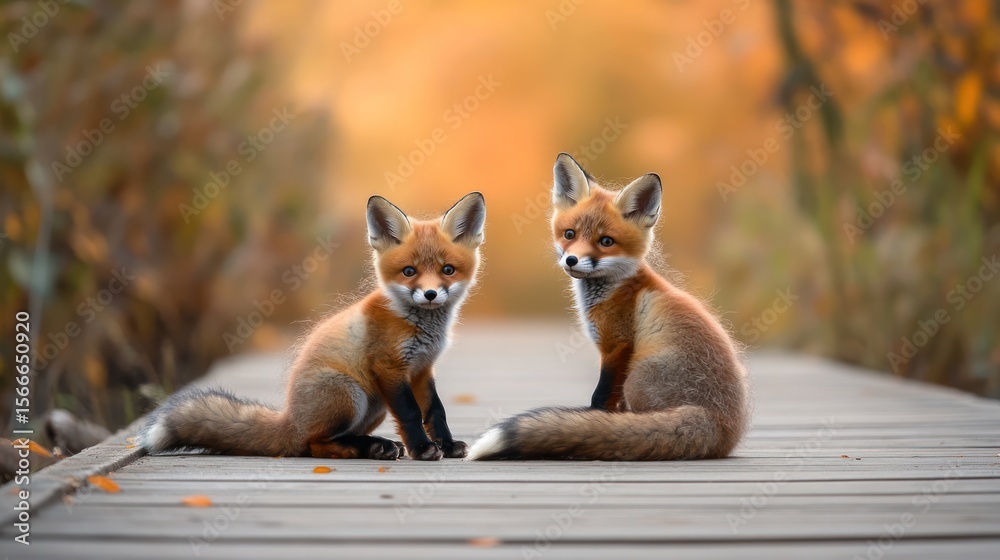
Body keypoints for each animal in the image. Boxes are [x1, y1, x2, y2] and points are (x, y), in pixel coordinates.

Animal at [140, 192, 487, 461]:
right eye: (409, 271)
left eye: (447, 270)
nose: (430, 294)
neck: (418, 325)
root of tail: (291, 421)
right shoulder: (390, 367)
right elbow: (413, 413)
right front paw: (423, 449)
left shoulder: (421, 369)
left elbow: (435, 411)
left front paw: (445, 444)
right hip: (350, 392)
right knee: (315, 444)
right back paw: (371, 447)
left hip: (374, 405)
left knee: (326, 441)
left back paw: (374, 446)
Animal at [468, 153, 748, 461]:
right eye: (569, 234)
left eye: (606, 241)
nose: (572, 260)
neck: (616, 287)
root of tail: (720, 425)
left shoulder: (617, 344)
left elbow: (601, 397)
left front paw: (596, 424)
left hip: (637, 378)